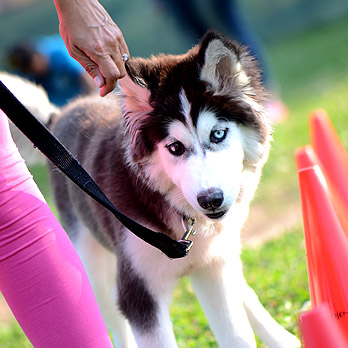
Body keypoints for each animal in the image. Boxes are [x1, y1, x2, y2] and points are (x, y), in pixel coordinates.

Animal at [47, 31, 300, 346]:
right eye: (175, 147)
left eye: (218, 134)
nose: (211, 200)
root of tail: (63, 112)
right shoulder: (139, 291)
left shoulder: (214, 271)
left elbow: (237, 334)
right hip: (93, 265)